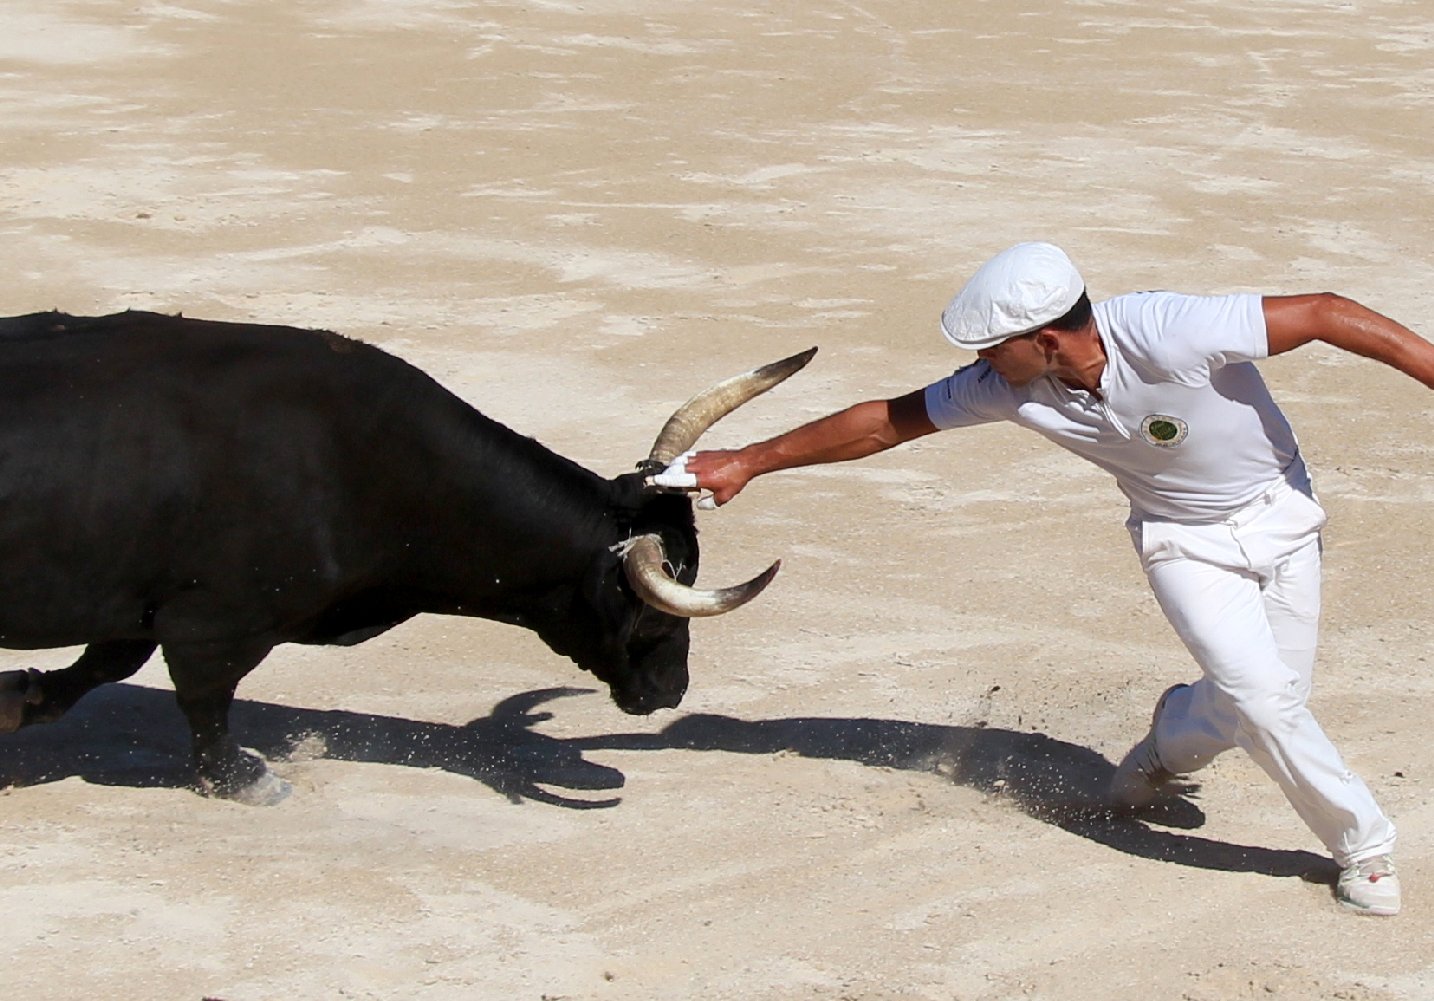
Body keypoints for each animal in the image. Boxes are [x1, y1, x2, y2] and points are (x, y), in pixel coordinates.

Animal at [0, 312, 814, 803]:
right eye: (652, 613)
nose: (671, 690)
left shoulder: (141, 605)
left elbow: (100, 668)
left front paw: (20, 700)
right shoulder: (215, 622)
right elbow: (206, 699)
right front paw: (239, 778)